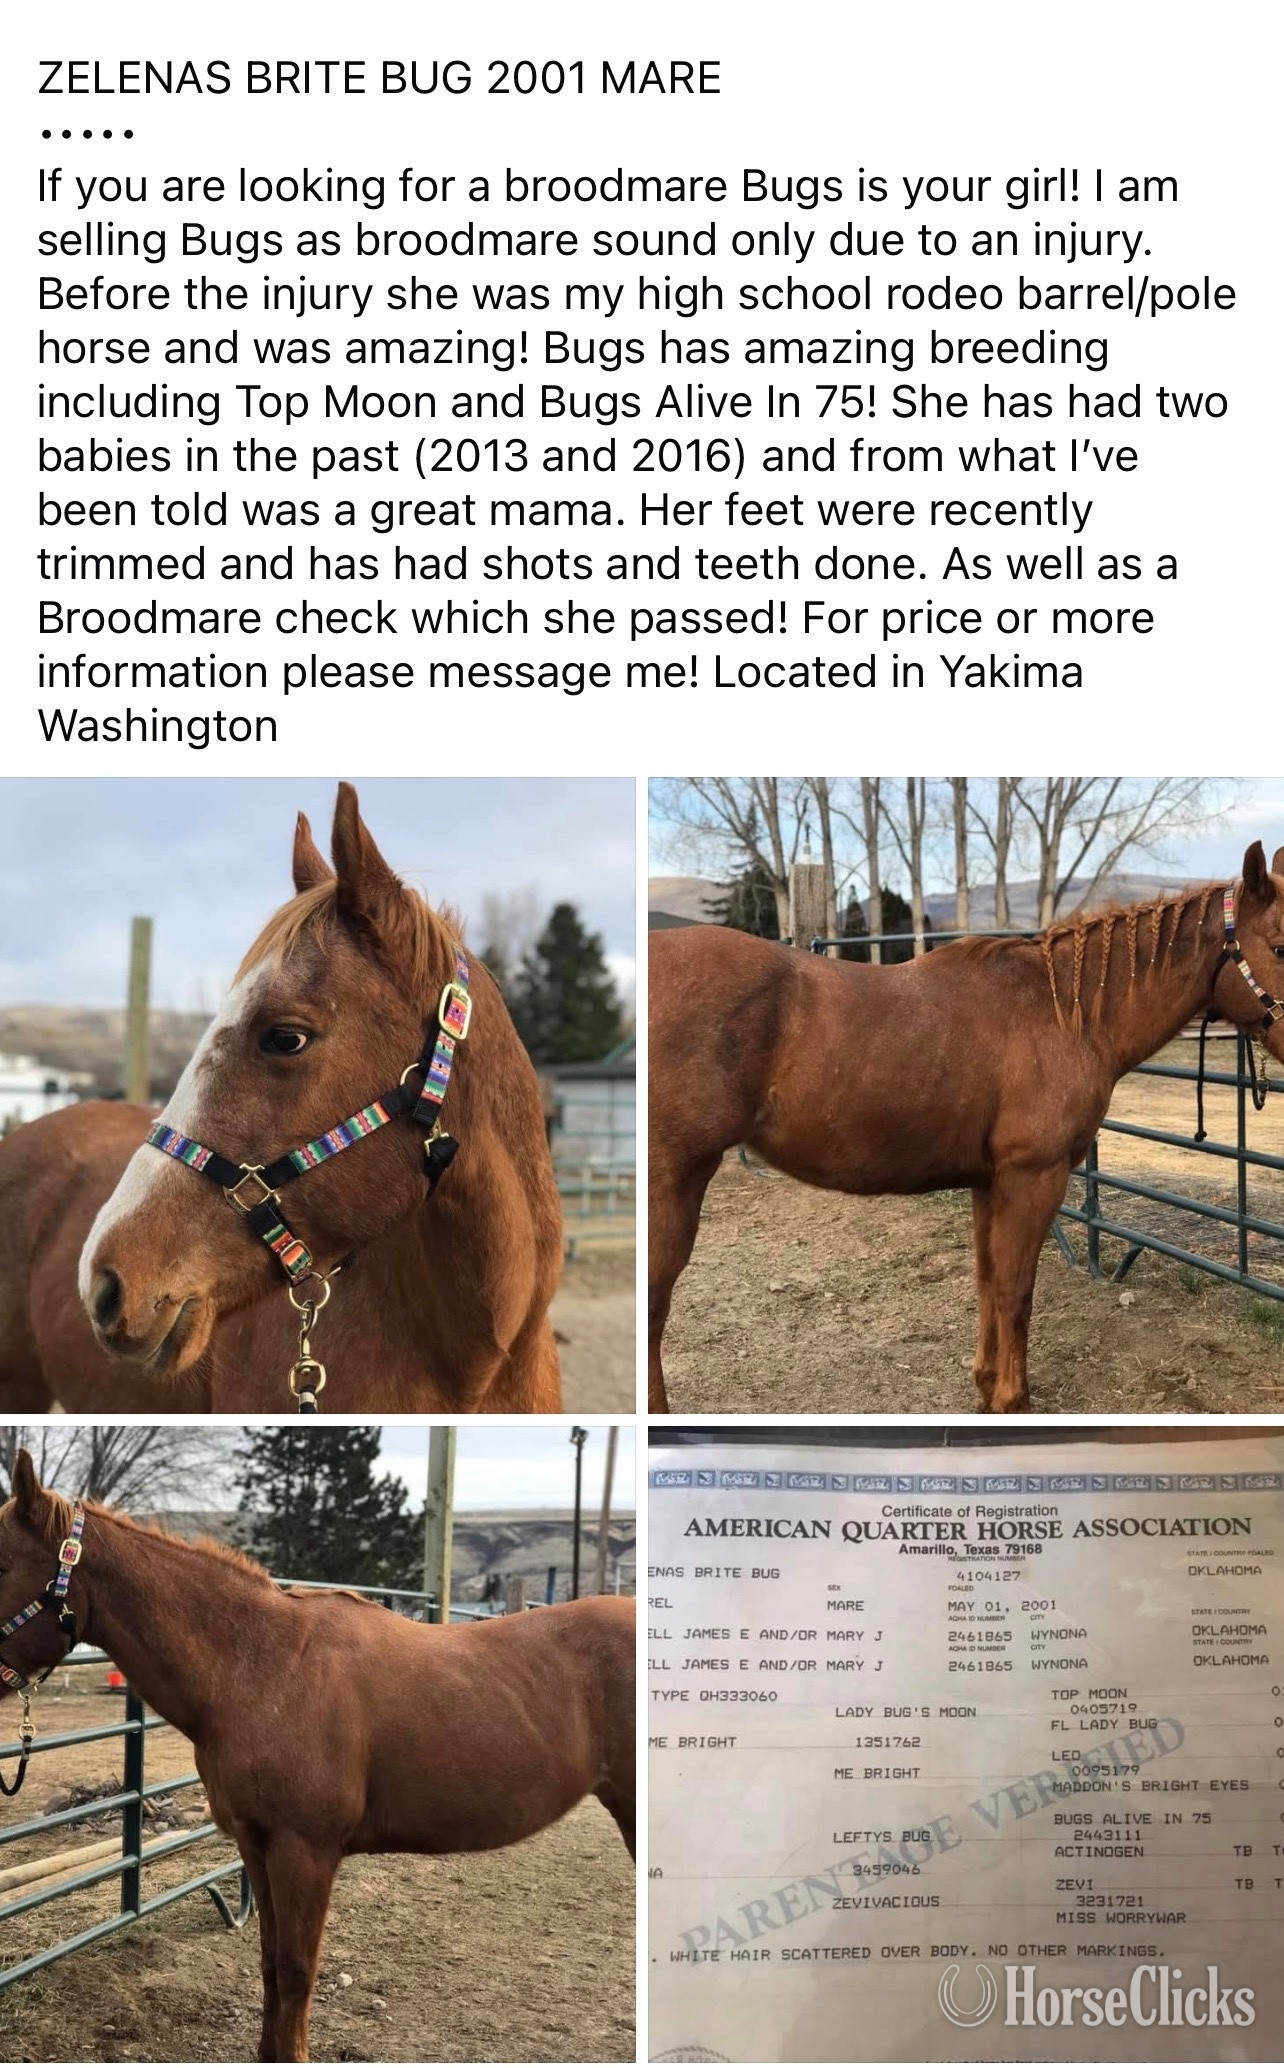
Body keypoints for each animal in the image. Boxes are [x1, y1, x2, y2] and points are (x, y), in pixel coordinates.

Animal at [0, 1451, 635, 2062]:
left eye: (2, 1565)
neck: (262, 1666)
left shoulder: (305, 1852)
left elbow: (297, 1970)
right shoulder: (256, 1845)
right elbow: (269, 1960)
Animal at [649, 841, 1284, 1414]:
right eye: (1279, 945)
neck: (1065, 1014)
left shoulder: (988, 1181)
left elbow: (987, 1281)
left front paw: (985, 1386)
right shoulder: (1034, 1177)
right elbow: (1017, 1288)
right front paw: (1012, 1399)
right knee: (655, 1300)